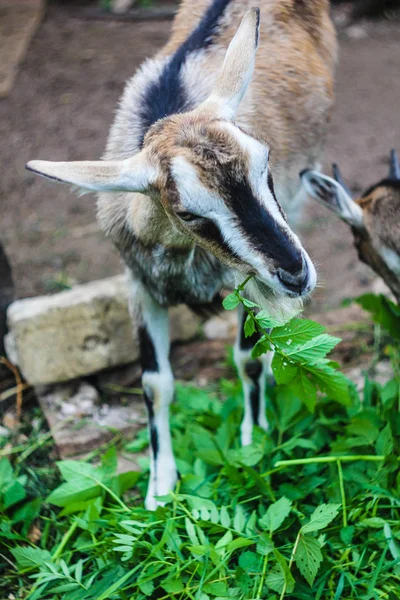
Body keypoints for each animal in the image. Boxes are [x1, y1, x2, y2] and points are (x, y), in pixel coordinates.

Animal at [26, 0, 336, 508]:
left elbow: (247, 358)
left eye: (266, 167)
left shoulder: (244, 284)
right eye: (188, 213)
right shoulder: (139, 285)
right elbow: (155, 384)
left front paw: (255, 439)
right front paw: (160, 487)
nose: (295, 274)